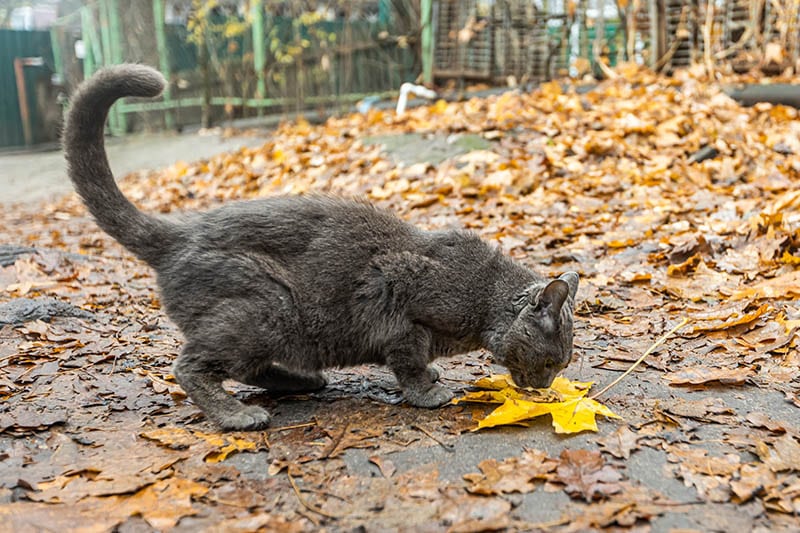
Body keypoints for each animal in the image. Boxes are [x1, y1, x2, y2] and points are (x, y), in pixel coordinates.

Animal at [61, 64, 576, 430]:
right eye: (552, 361)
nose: (545, 387)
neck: (485, 297)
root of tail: (179, 234)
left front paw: (432, 377)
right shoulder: (403, 305)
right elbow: (408, 361)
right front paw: (428, 392)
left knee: (247, 368)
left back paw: (303, 381)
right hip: (265, 306)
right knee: (189, 366)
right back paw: (237, 415)